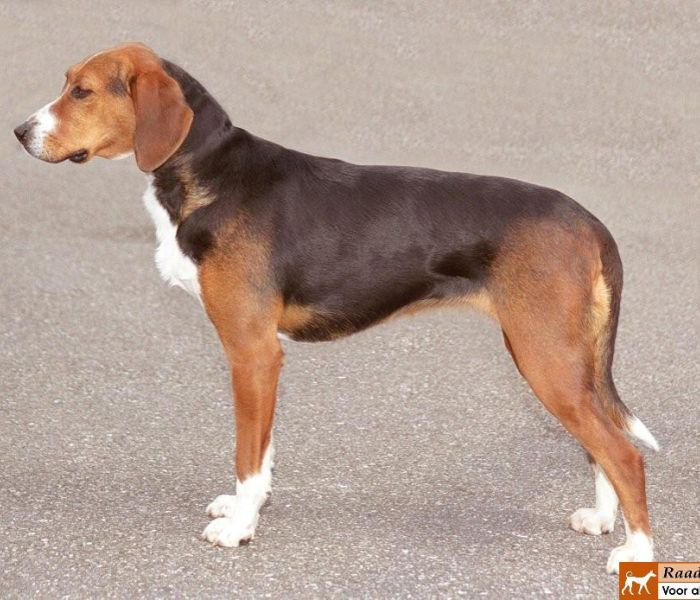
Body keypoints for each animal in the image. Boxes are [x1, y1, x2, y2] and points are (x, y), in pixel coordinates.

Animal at [14, 43, 659, 573]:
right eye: (67, 83)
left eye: (82, 91)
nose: (20, 132)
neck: (209, 171)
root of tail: (588, 221)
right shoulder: (263, 359)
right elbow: (263, 449)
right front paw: (249, 507)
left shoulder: (251, 352)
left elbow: (247, 453)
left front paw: (239, 527)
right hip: (568, 363)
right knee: (601, 445)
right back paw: (605, 520)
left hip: (545, 360)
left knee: (623, 453)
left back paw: (636, 553)